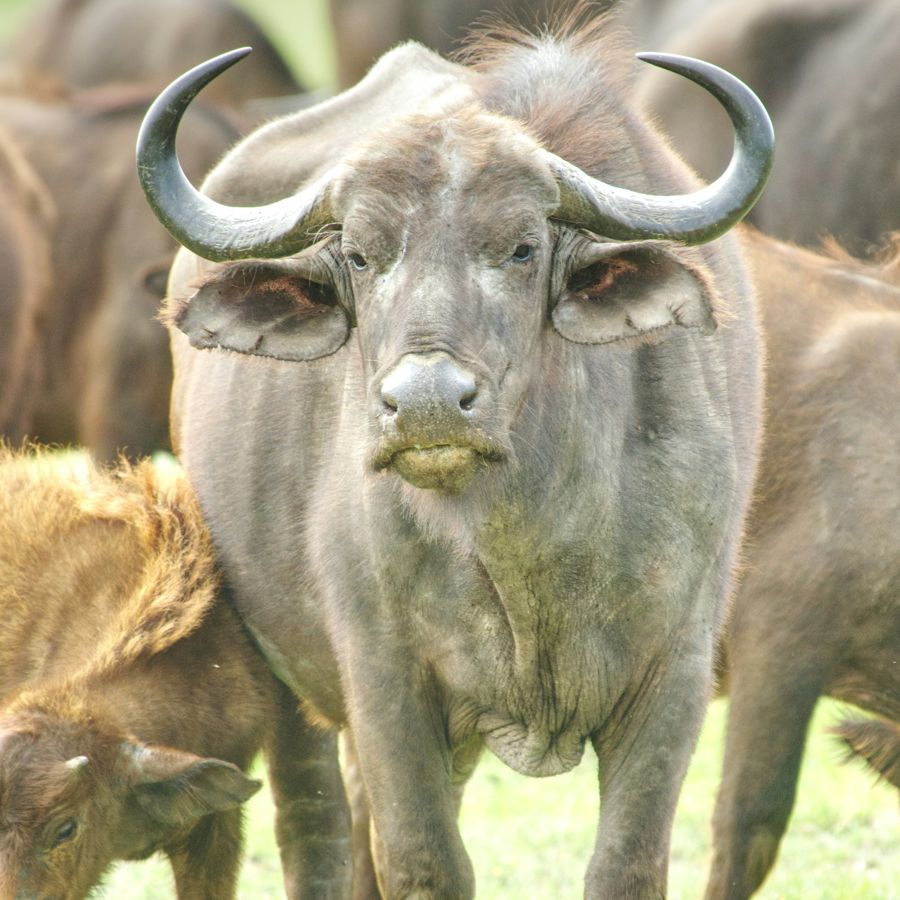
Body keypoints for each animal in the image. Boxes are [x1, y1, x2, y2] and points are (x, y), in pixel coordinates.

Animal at [137, 12, 773, 897]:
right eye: (359, 255)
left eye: (521, 248)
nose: (428, 404)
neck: (531, 543)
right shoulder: (386, 680)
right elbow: (424, 861)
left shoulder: (673, 677)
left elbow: (628, 862)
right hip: (279, 671)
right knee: (316, 827)